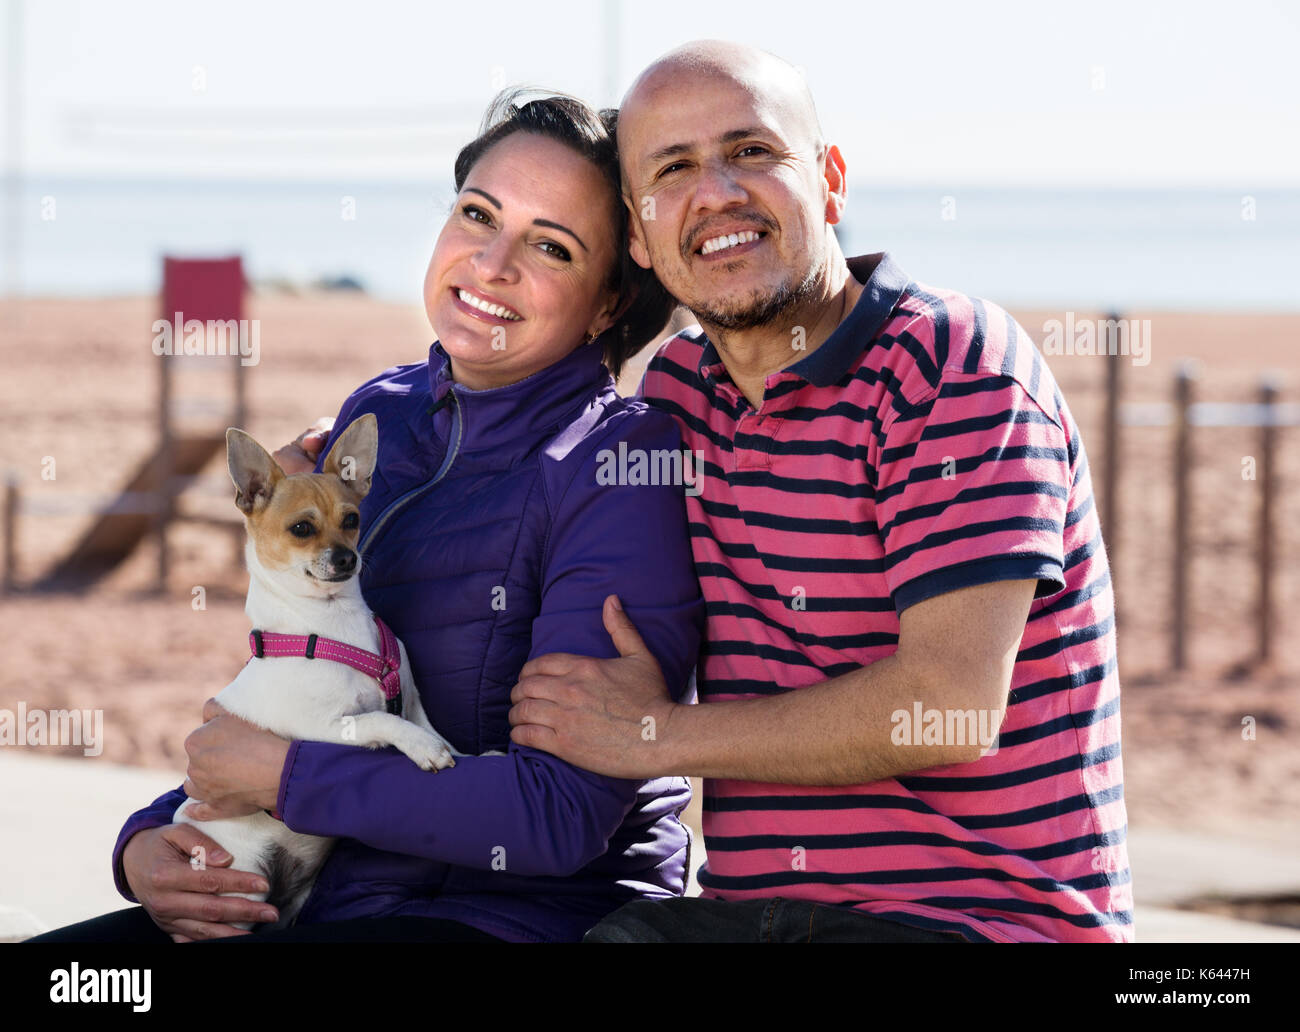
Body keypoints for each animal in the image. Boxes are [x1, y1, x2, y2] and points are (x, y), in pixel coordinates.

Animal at [172, 413, 457, 930]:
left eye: (352, 520)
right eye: (302, 528)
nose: (347, 558)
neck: (333, 625)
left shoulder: (410, 699)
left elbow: (427, 726)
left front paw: (466, 753)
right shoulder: (322, 728)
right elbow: (381, 719)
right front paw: (424, 748)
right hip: (239, 887)